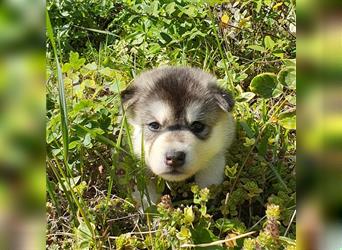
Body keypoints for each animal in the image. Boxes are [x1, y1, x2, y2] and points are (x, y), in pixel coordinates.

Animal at [121, 67, 235, 204]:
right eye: (154, 125)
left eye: (197, 126)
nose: (174, 158)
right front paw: (147, 202)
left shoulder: (216, 152)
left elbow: (211, 173)